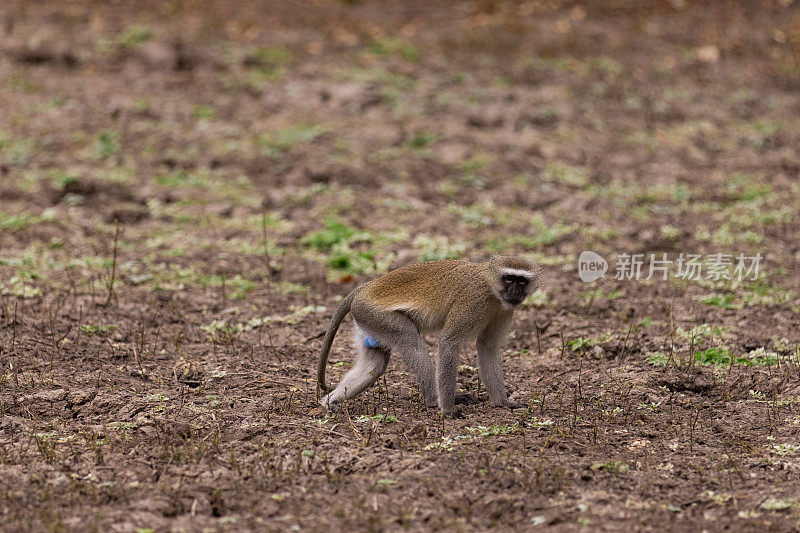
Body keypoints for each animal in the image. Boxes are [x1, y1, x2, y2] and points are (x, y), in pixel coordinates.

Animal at [318, 254, 536, 416]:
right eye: (508, 279)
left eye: (521, 281)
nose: (515, 292)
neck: (491, 288)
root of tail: (365, 288)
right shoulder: (473, 302)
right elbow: (449, 342)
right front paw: (448, 410)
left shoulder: (504, 310)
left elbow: (488, 347)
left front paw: (503, 402)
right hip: (373, 313)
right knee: (410, 340)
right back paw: (433, 400)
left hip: (366, 319)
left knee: (375, 364)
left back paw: (330, 401)